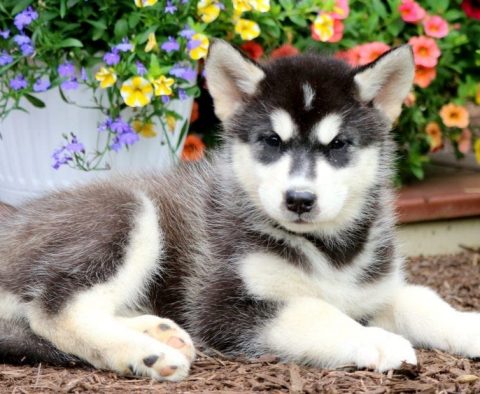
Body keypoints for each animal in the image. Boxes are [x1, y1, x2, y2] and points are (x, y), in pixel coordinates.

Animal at [0, 40, 480, 382]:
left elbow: (424, 299)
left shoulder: (373, 289)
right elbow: (317, 312)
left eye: (339, 144)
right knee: (54, 312)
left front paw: (468, 326)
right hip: (125, 215)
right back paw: (146, 353)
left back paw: (158, 332)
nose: (299, 199)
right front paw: (376, 340)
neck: (327, 251)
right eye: (272, 141)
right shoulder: (226, 307)